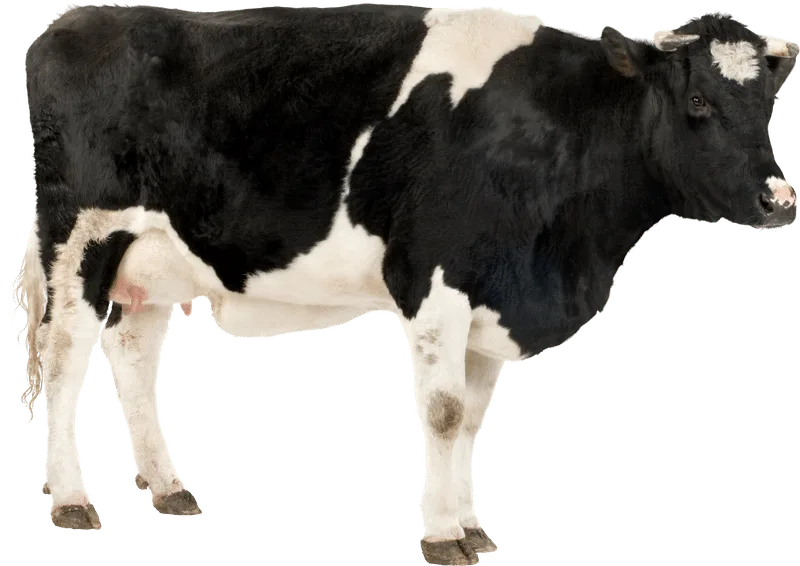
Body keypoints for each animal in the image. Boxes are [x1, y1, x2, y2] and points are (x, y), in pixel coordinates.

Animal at [10, 3, 797, 564]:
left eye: (767, 106)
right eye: (698, 103)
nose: (780, 200)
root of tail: (73, 21)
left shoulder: (491, 293)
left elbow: (474, 417)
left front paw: (473, 528)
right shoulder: (434, 277)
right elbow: (445, 412)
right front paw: (441, 536)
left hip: (151, 255)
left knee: (137, 353)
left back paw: (167, 487)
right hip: (81, 235)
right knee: (64, 354)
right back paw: (70, 499)